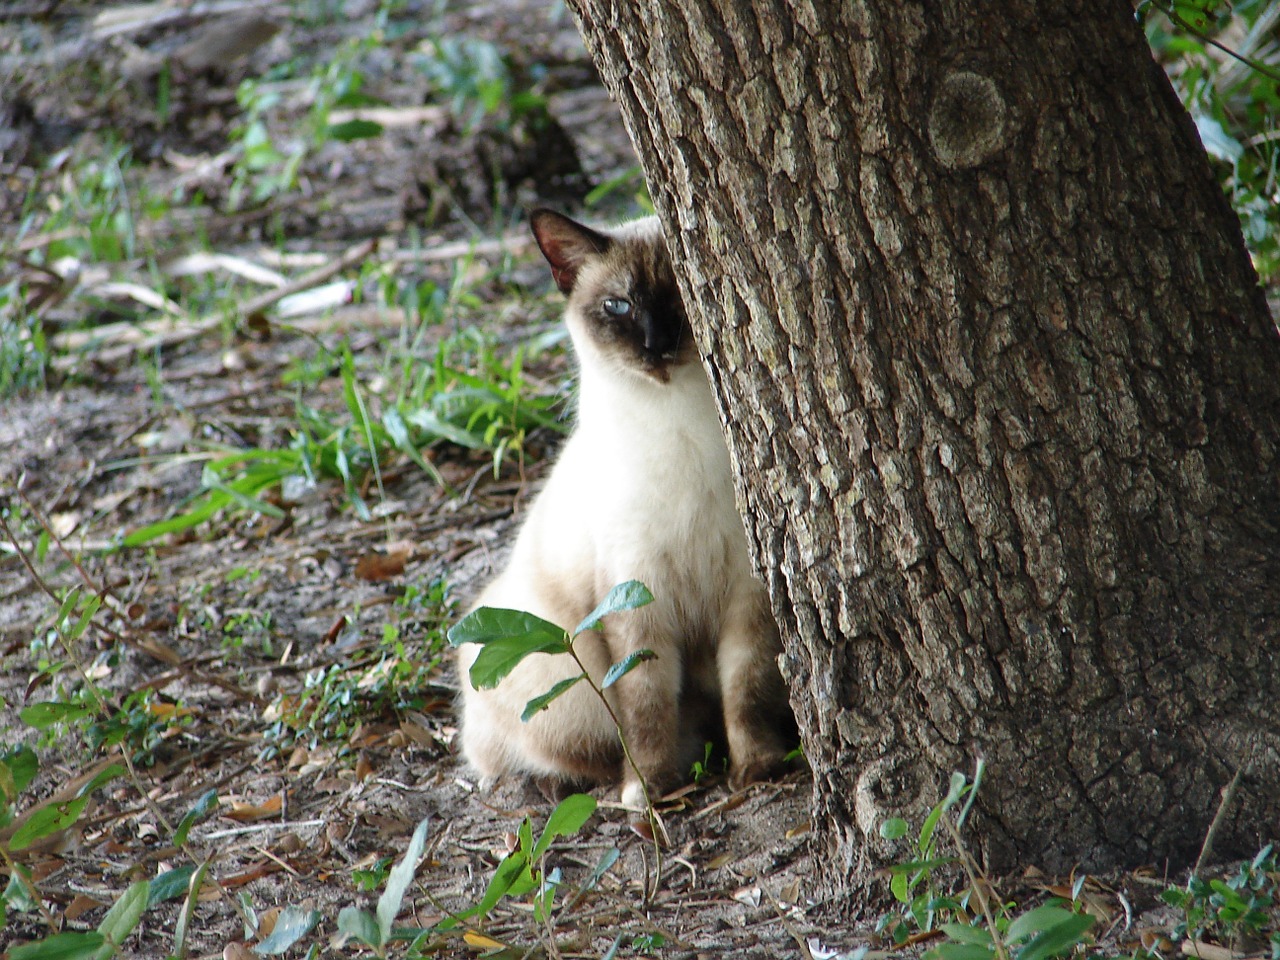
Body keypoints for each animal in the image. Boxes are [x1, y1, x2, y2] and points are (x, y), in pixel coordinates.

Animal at [450, 209, 788, 814]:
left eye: (679, 297)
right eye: (619, 307)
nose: (655, 345)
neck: (683, 429)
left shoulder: (748, 587)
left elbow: (746, 689)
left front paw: (757, 768)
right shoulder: (636, 590)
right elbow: (644, 703)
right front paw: (649, 790)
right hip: (548, 660)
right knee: (549, 751)